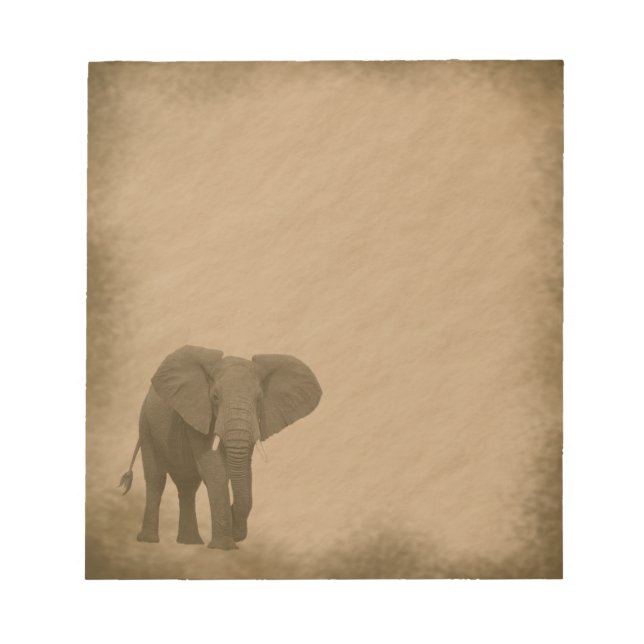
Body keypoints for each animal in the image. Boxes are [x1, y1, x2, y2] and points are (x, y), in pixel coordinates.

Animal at [119, 345, 322, 550]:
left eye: (259, 400)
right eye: (215, 398)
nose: (233, 515)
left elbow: (240, 469)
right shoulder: (199, 412)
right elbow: (214, 468)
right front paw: (225, 547)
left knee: (188, 484)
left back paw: (190, 542)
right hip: (145, 425)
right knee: (156, 479)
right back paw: (149, 540)